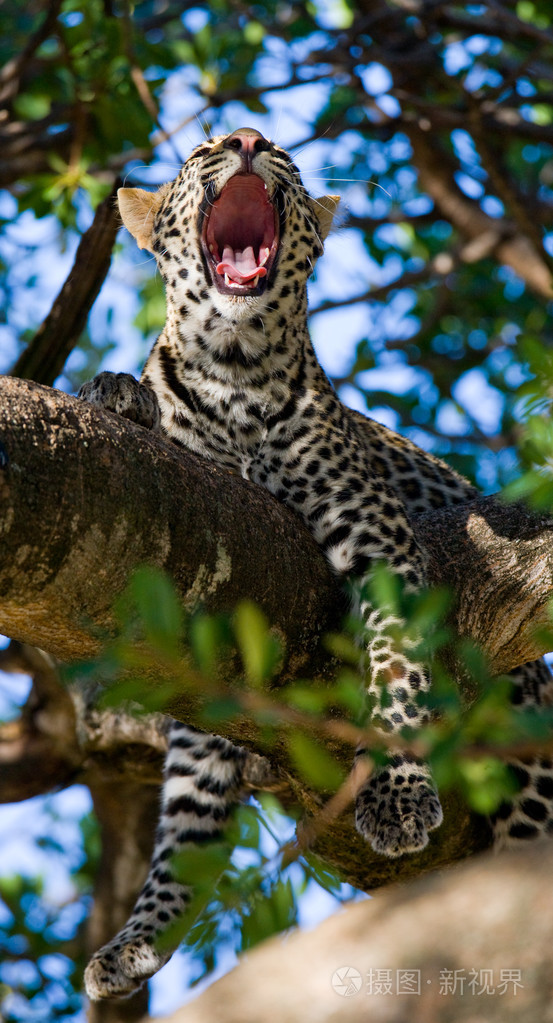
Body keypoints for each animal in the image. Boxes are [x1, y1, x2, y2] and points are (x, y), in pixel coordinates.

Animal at [77, 127, 551, 998]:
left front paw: (396, 794)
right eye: (203, 147)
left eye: (283, 155)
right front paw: (118, 392)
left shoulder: (378, 539)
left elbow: (397, 668)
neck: (234, 367)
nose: (247, 140)